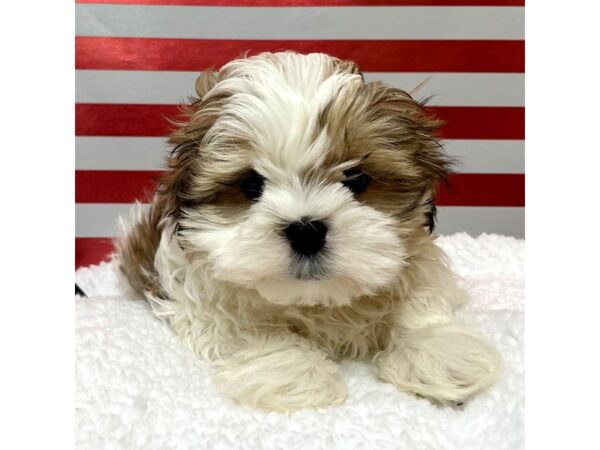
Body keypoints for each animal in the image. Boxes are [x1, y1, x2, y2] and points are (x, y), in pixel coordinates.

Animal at [117, 51, 502, 414]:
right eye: (251, 184)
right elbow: (249, 328)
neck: (317, 301)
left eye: (356, 179)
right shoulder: (201, 296)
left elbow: (418, 302)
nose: (306, 231)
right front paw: (296, 373)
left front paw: (438, 352)